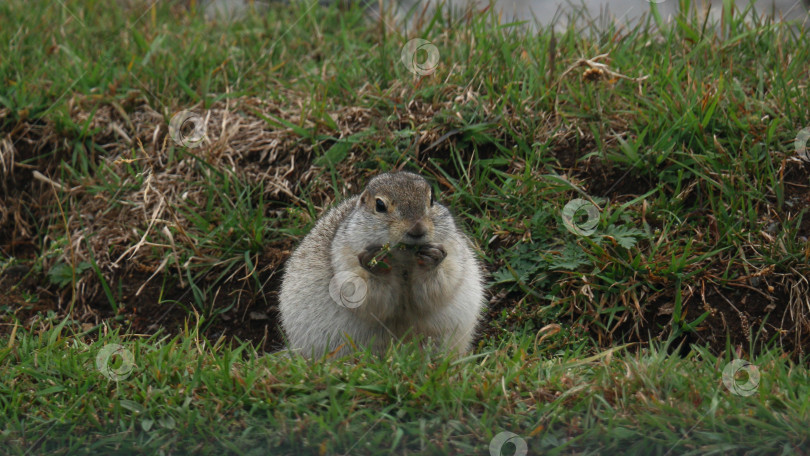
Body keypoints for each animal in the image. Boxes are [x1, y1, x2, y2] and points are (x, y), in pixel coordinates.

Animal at [280, 170, 480, 356]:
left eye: (431, 199)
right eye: (380, 205)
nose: (417, 229)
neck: (405, 263)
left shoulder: (454, 252)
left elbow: (441, 284)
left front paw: (432, 258)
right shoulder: (346, 262)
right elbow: (367, 296)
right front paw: (376, 265)